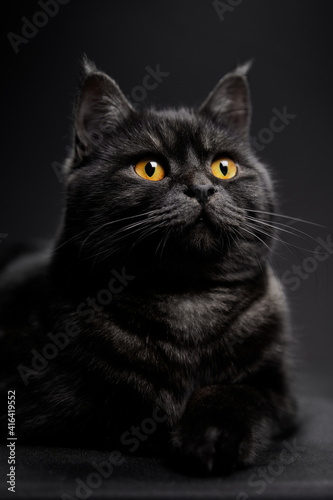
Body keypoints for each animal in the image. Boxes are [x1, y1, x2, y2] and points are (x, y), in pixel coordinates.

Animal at [0, 57, 296, 472]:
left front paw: (213, 436)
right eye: (149, 168)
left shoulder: (278, 391)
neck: (188, 299)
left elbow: (235, 392)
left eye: (223, 167)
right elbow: (138, 405)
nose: (202, 188)